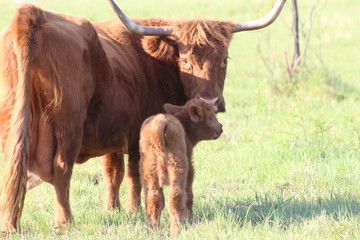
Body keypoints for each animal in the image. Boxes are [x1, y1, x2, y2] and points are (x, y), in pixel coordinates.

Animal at [139, 98, 224, 232]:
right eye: (211, 117)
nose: (221, 127)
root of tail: (160, 121)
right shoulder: (190, 170)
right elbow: (189, 195)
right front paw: (190, 218)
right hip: (177, 169)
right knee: (176, 196)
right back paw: (177, 229)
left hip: (149, 173)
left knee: (153, 198)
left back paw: (154, 229)